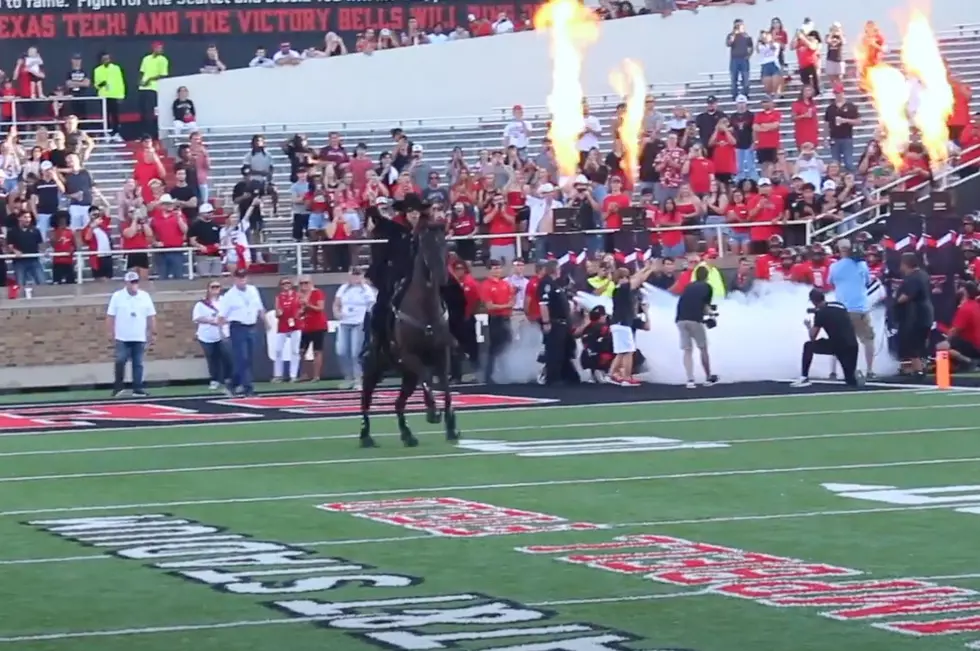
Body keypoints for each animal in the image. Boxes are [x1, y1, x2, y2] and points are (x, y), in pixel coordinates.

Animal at [360, 216, 460, 446]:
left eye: (445, 245)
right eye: (426, 245)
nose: (442, 276)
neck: (425, 310)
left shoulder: (442, 353)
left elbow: (445, 385)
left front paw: (451, 427)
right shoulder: (408, 355)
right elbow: (427, 376)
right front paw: (432, 411)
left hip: (407, 375)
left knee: (398, 402)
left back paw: (407, 434)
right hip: (375, 366)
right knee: (366, 397)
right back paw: (365, 435)